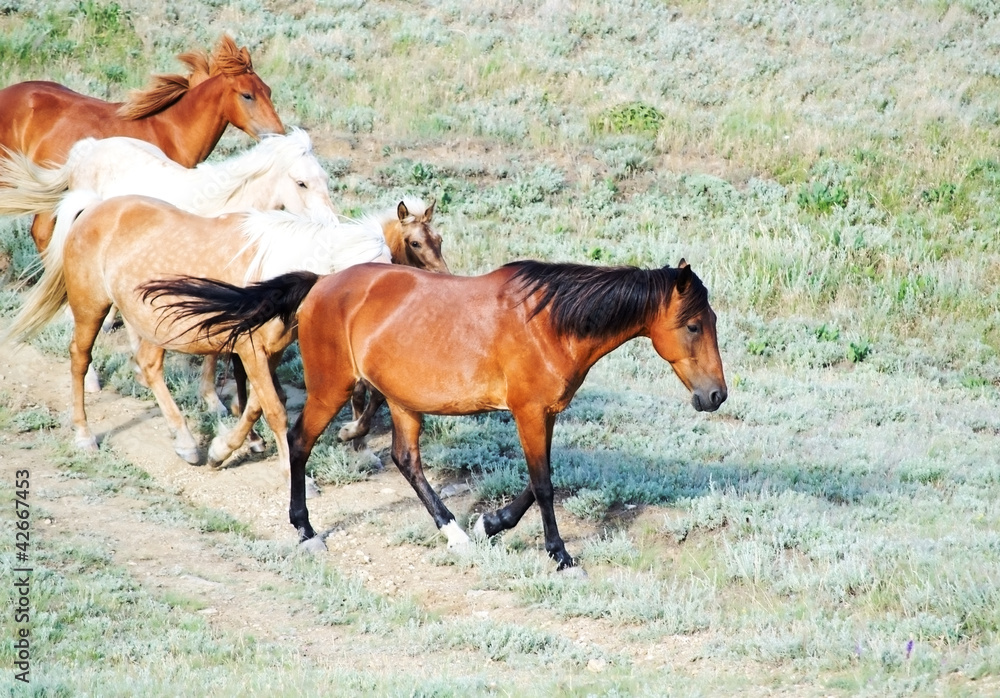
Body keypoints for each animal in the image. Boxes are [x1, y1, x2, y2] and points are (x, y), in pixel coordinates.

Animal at [0, 128, 337, 413]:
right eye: (301, 182)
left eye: (324, 178)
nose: (330, 225)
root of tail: (90, 147)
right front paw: (212, 401)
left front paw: (212, 401)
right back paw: (94, 379)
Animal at [1, 193, 390, 495]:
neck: (275, 266)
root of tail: (94, 207)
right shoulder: (251, 350)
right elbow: (275, 410)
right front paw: (296, 478)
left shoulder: (269, 352)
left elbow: (256, 406)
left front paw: (220, 450)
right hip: (90, 309)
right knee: (80, 359)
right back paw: (84, 434)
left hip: (155, 325)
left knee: (149, 366)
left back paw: (186, 442)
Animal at [143, 260, 728, 569]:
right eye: (694, 325)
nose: (716, 396)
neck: (549, 322)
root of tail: (322, 284)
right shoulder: (528, 412)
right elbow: (543, 485)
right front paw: (560, 555)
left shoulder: (544, 413)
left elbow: (537, 482)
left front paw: (490, 524)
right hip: (333, 388)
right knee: (301, 440)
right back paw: (305, 529)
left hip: (404, 404)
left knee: (406, 460)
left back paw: (455, 533)